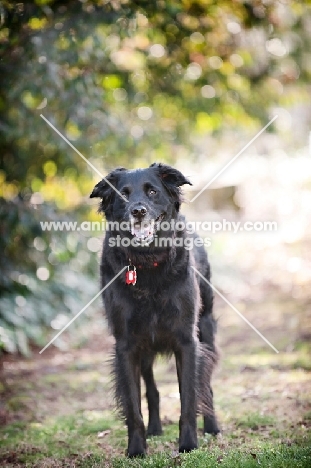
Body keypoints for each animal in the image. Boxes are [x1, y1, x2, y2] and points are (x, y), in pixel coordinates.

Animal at [91, 163, 219, 456]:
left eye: (152, 191)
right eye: (123, 194)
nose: (138, 211)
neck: (147, 263)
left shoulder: (187, 340)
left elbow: (189, 397)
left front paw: (188, 445)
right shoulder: (127, 344)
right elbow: (133, 406)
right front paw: (137, 450)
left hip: (205, 326)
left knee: (206, 384)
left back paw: (212, 427)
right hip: (145, 350)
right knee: (152, 390)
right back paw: (155, 429)